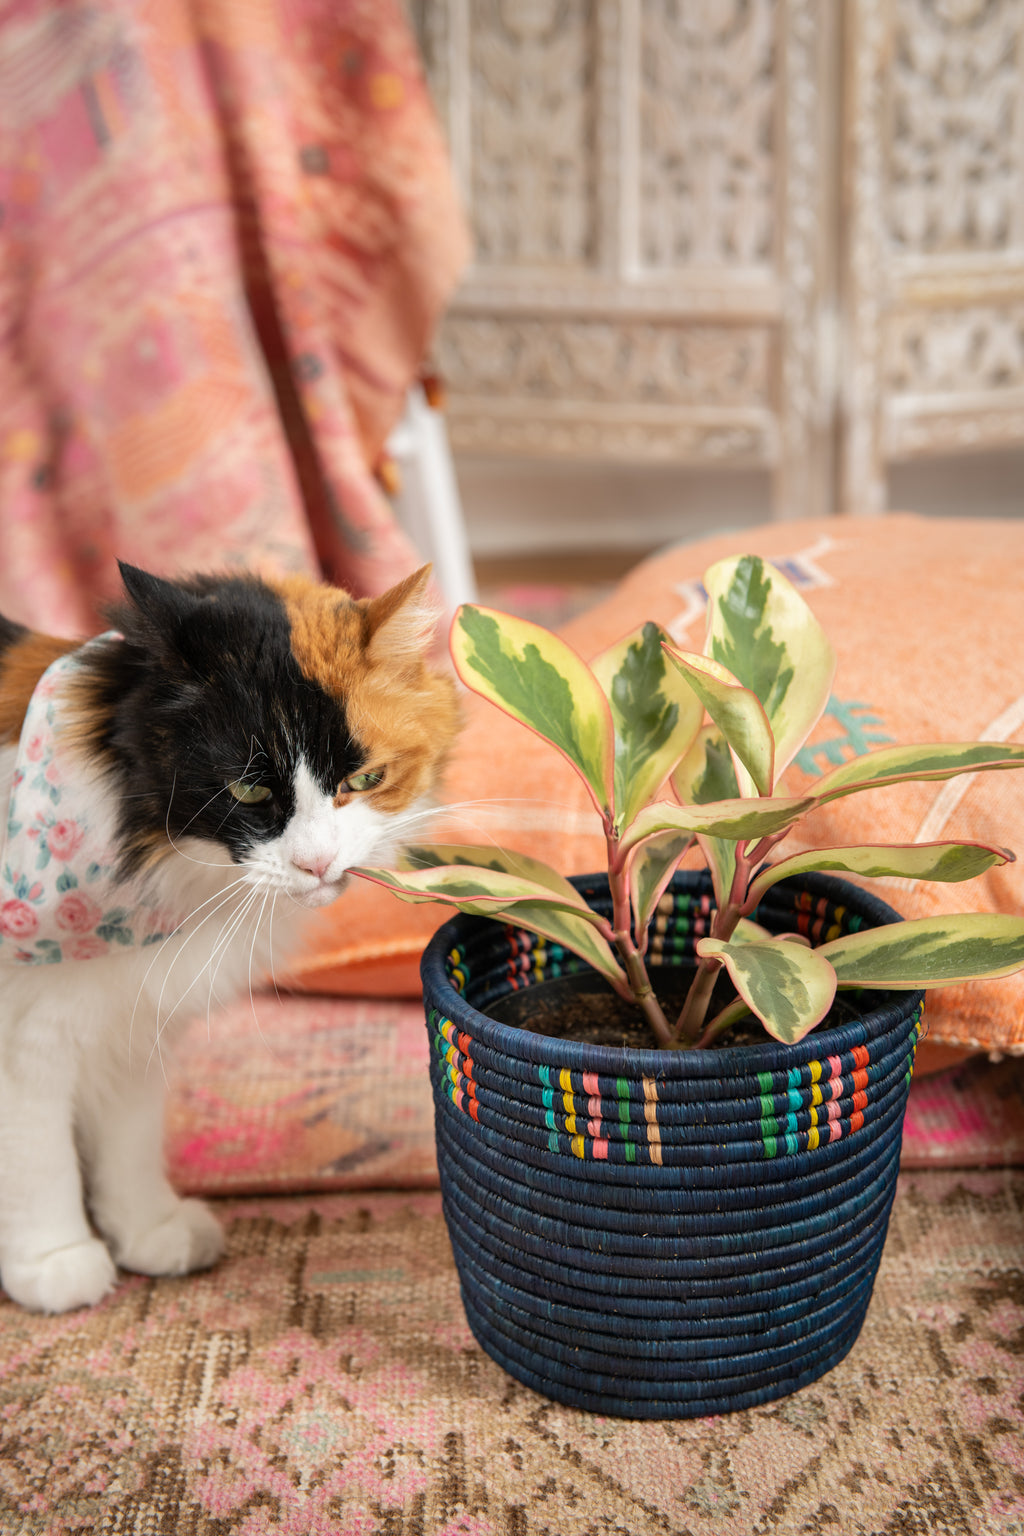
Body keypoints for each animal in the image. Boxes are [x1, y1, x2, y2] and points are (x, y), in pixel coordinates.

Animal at [0, 562, 457, 1308]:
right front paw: (55, 1260)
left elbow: (126, 1142)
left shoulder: (131, 1026)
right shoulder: (25, 1041)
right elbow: (38, 1160)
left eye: (365, 780)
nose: (317, 863)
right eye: (246, 792)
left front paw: (147, 1230)